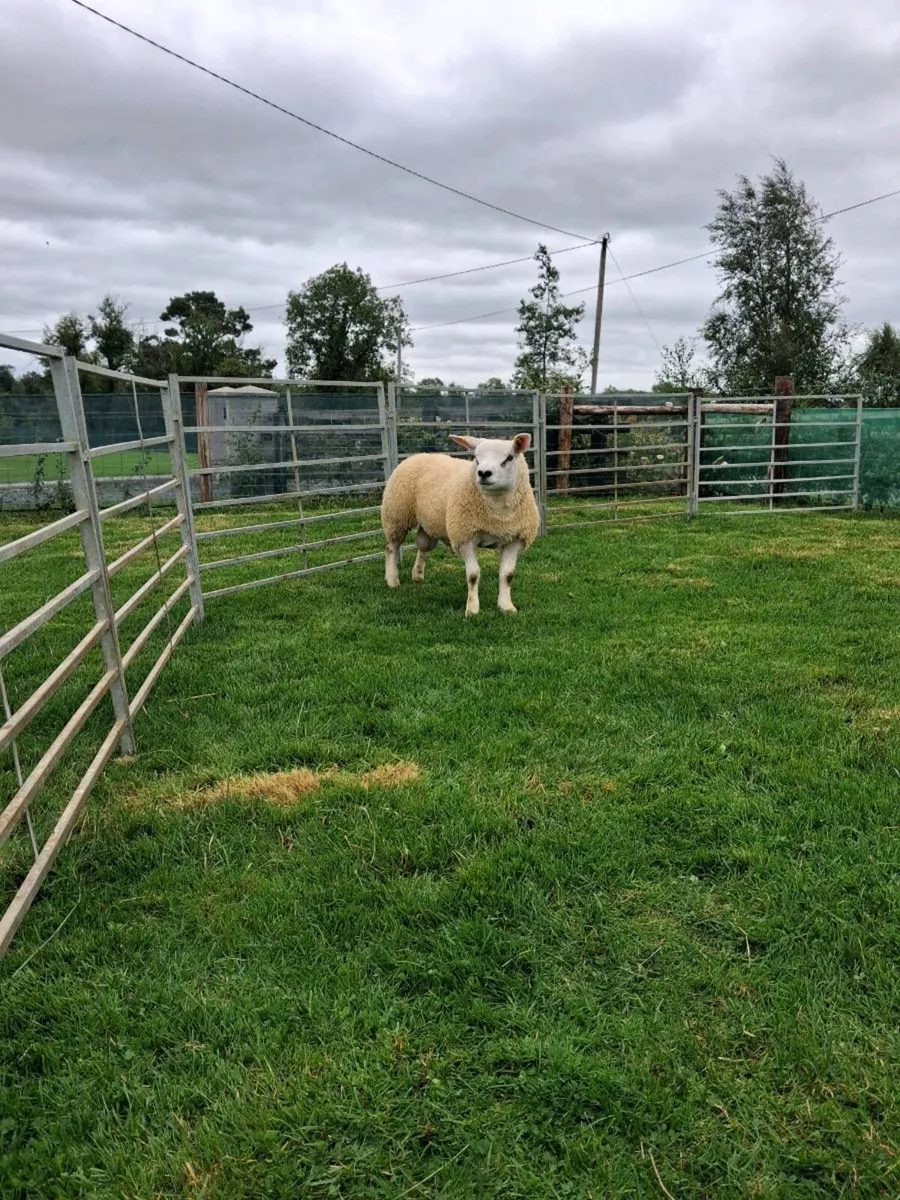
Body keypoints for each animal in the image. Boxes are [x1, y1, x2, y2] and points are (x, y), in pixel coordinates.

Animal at [380, 432, 540, 617]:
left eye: (509, 457)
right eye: (476, 458)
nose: (483, 473)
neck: (498, 515)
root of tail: (419, 455)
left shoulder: (514, 539)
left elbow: (507, 575)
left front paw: (506, 607)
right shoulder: (465, 537)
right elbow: (473, 575)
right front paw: (472, 609)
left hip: (429, 523)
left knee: (422, 546)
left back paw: (418, 574)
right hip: (396, 516)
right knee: (391, 547)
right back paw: (392, 580)